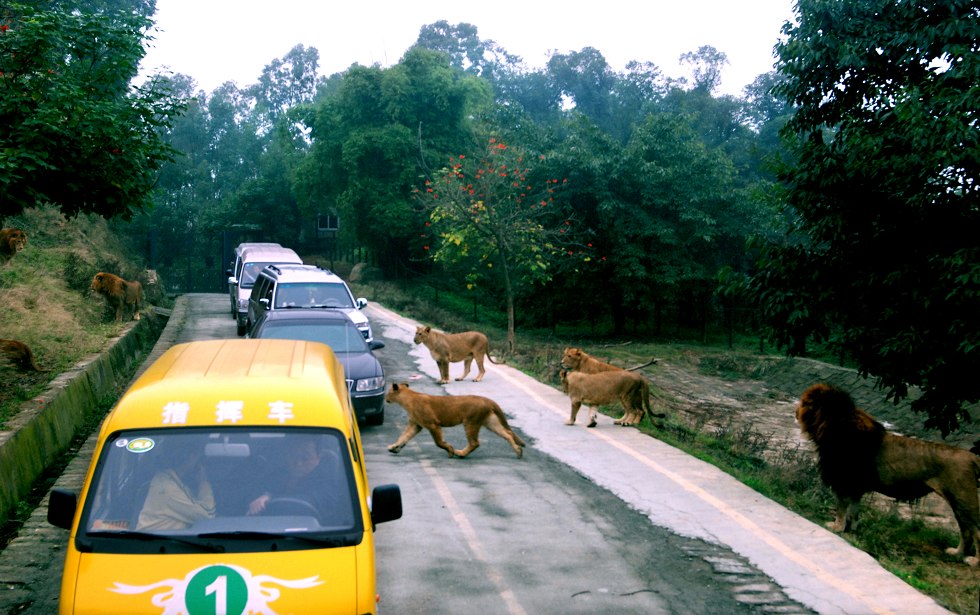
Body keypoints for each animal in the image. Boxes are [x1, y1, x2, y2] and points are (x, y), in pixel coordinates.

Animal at [382, 382, 524, 460]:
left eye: (388, 392)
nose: (385, 397)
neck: (407, 400)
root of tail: (487, 399)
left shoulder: (433, 424)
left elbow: (438, 442)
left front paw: (450, 450)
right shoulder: (415, 425)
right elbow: (403, 437)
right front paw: (394, 448)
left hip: (471, 422)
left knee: (475, 443)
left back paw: (460, 453)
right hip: (490, 422)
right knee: (508, 434)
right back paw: (518, 451)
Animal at [796, 384, 980, 568]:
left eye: (805, 402)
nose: (796, 411)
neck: (830, 425)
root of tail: (972, 456)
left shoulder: (844, 483)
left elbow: (841, 509)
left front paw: (836, 527)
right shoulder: (856, 487)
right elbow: (854, 512)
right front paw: (851, 528)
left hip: (964, 501)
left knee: (976, 531)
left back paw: (974, 561)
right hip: (959, 504)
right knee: (966, 532)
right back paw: (956, 553)